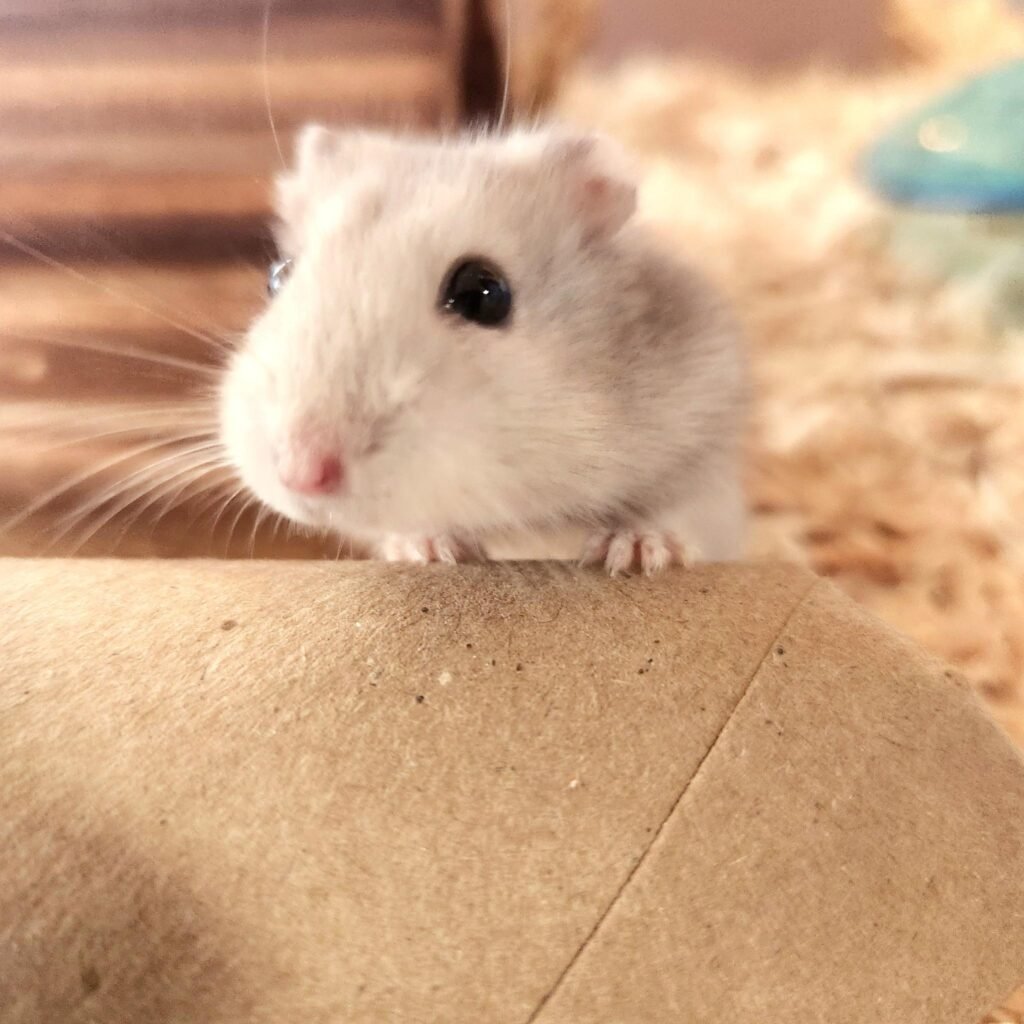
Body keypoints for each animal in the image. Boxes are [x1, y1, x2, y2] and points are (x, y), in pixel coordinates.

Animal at [219, 125, 747, 575]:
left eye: (482, 293)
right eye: (277, 277)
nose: (300, 474)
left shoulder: (708, 435)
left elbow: (678, 508)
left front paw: (631, 554)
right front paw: (426, 550)